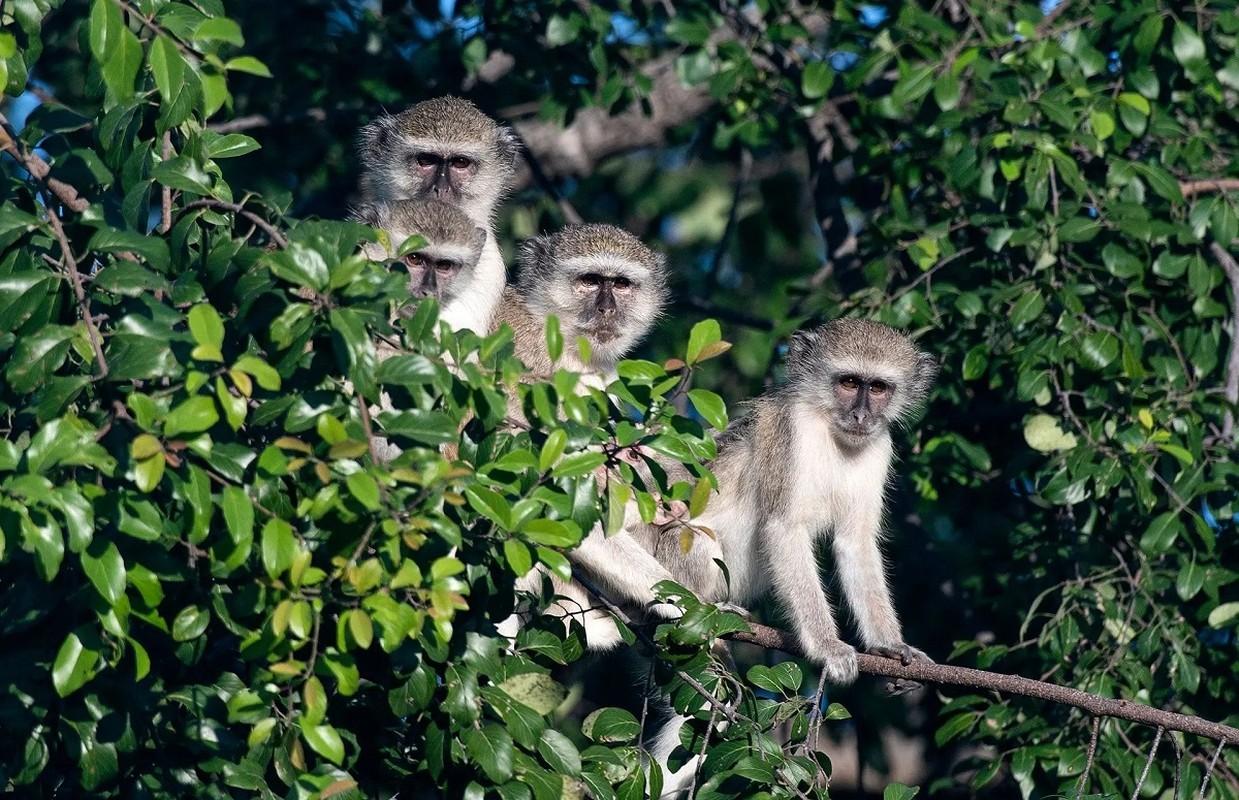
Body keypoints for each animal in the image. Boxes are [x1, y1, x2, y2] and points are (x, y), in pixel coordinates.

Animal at [654, 321, 931, 797]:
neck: (831, 430)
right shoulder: (790, 430)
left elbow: (855, 543)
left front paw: (889, 646)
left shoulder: (879, 446)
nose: (861, 417)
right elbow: (785, 529)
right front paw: (827, 647)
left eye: (878, 387)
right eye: (849, 382)